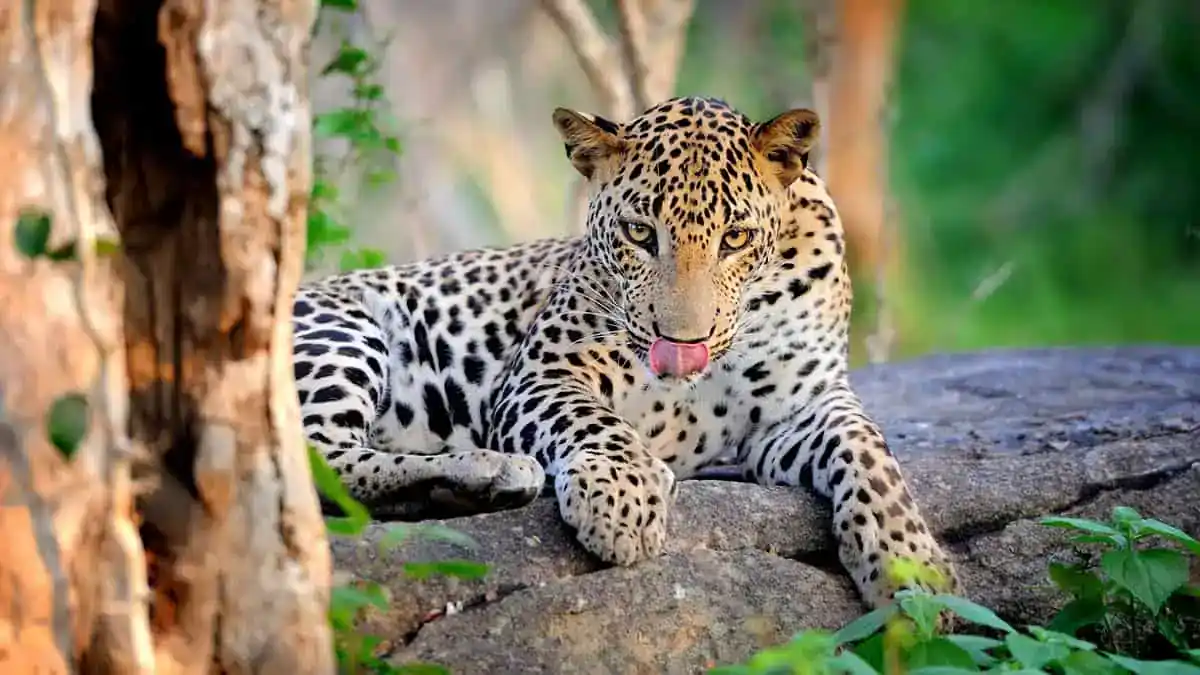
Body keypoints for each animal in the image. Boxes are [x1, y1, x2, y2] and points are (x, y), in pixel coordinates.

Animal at [292, 96, 959, 609]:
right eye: (640, 233)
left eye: (736, 238)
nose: (684, 345)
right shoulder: (543, 374)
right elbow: (595, 421)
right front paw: (623, 496)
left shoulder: (802, 405)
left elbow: (870, 451)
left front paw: (911, 565)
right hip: (342, 328)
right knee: (319, 461)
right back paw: (486, 471)